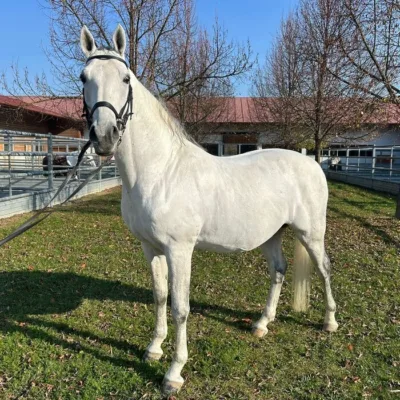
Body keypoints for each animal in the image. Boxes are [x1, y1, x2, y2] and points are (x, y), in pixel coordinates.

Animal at [79, 25, 338, 396]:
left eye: (125, 78)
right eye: (84, 78)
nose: (104, 136)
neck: (160, 171)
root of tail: (311, 162)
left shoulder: (179, 250)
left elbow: (180, 307)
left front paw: (174, 373)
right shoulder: (150, 247)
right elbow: (160, 296)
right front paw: (153, 349)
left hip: (311, 233)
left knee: (324, 269)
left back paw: (329, 321)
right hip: (271, 235)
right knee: (278, 270)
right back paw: (262, 323)